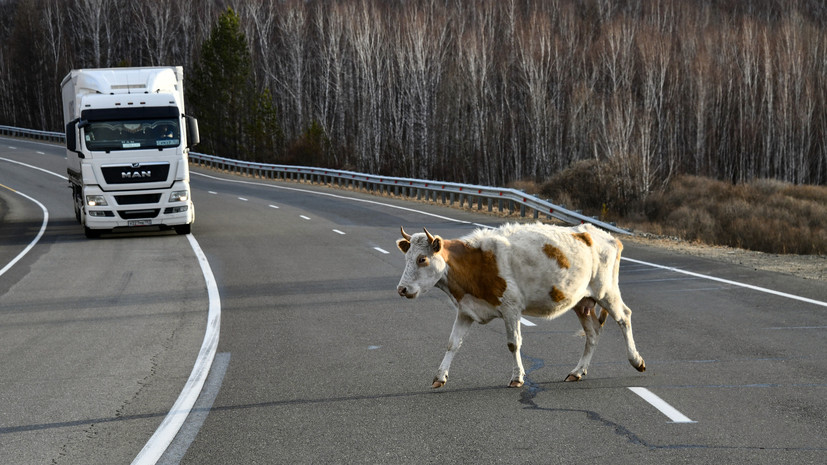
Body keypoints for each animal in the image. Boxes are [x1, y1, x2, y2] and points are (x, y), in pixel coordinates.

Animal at [396, 221, 648, 388]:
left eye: (422, 259)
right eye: (407, 258)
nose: (402, 289)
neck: (473, 263)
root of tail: (605, 235)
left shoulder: (511, 308)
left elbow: (513, 344)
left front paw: (517, 377)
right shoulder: (466, 310)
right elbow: (452, 344)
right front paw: (440, 376)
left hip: (607, 291)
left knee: (624, 317)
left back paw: (636, 360)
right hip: (581, 302)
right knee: (593, 332)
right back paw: (577, 371)